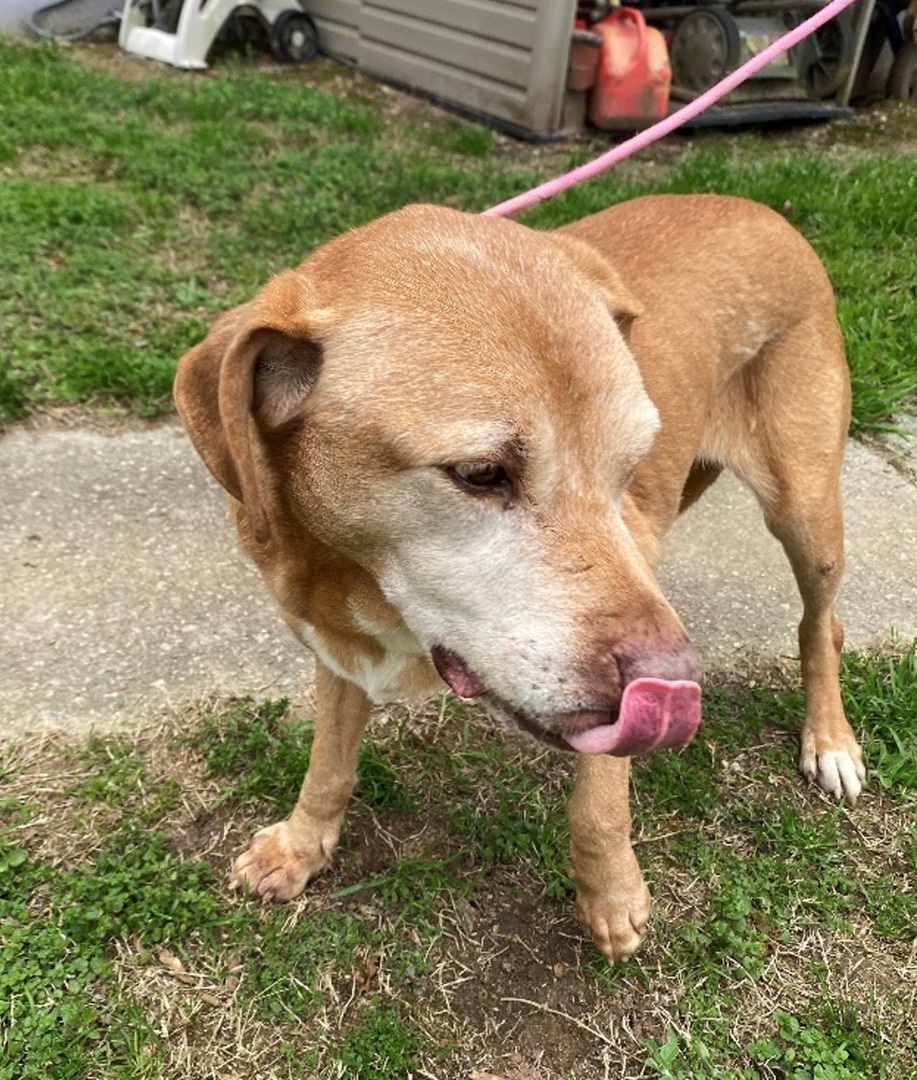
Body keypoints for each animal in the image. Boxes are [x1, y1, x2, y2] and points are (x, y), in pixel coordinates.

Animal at [173, 196, 864, 963]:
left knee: (823, 623)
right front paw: (300, 846)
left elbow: (599, 806)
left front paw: (612, 895)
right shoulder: (339, 651)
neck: (357, 575)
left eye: (627, 465)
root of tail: (755, 205)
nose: (678, 687)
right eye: (480, 473)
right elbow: (327, 765)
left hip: (804, 512)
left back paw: (830, 740)